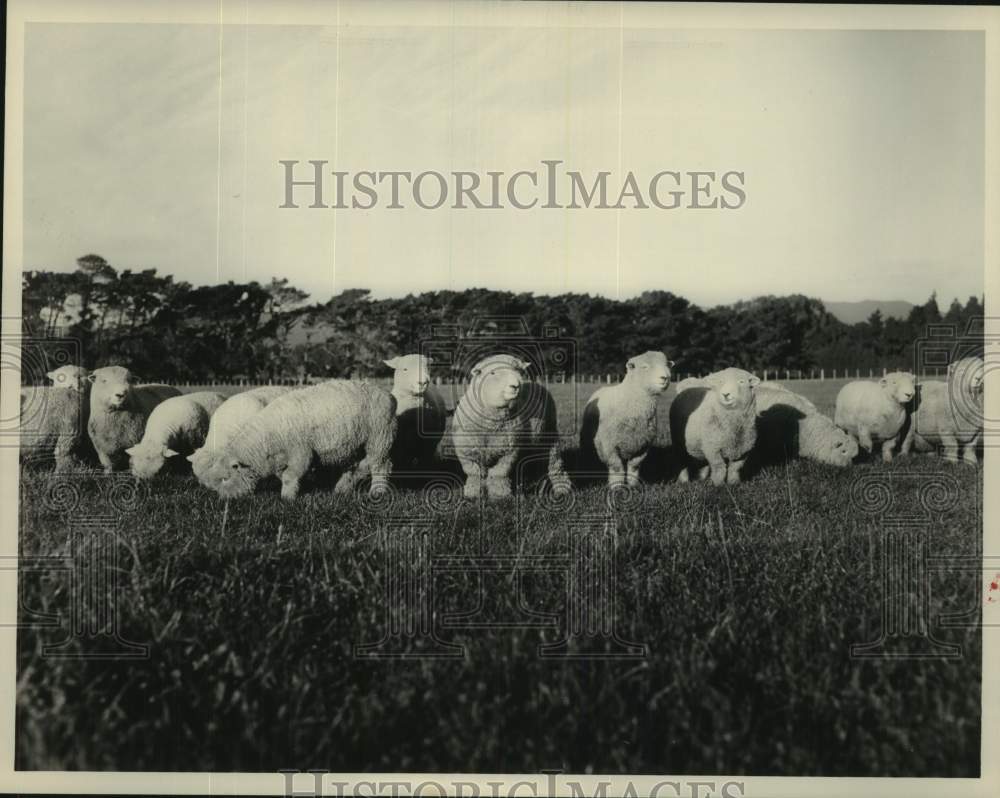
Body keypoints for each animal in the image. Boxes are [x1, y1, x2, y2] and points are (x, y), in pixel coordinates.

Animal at [195, 380, 398, 500]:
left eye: (225, 478)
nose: (223, 500)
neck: (266, 439)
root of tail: (387, 393)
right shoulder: (279, 459)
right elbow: (284, 476)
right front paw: (291, 491)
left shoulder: (301, 452)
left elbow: (290, 475)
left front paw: (287, 498)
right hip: (352, 443)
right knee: (356, 466)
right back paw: (342, 489)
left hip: (380, 437)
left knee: (380, 465)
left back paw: (378, 490)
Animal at [452, 354, 572, 500]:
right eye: (493, 373)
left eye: (518, 371)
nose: (516, 385)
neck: (490, 425)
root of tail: (536, 383)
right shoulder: (468, 452)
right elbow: (474, 475)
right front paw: (473, 494)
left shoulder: (507, 452)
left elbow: (499, 474)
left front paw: (500, 495)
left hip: (549, 435)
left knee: (554, 463)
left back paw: (561, 488)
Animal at [580, 352, 672, 488]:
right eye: (644, 367)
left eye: (667, 365)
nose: (665, 377)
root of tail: (603, 388)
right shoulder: (609, 446)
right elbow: (617, 468)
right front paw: (617, 487)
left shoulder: (643, 446)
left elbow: (634, 467)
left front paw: (633, 485)